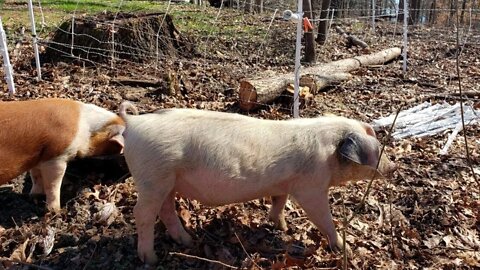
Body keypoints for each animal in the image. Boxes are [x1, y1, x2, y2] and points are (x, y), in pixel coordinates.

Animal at [118, 102, 396, 264]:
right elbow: (323, 217)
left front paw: (281, 226)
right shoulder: (311, 188)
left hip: (166, 182)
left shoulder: (283, 185)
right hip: (152, 179)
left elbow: (279, 201)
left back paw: (187, 242)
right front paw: (341, 247)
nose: (394, 167)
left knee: (166, 211)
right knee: (142, 214)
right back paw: (151, 259)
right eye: (376, 150)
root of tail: (133, 122)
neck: (327, 155)